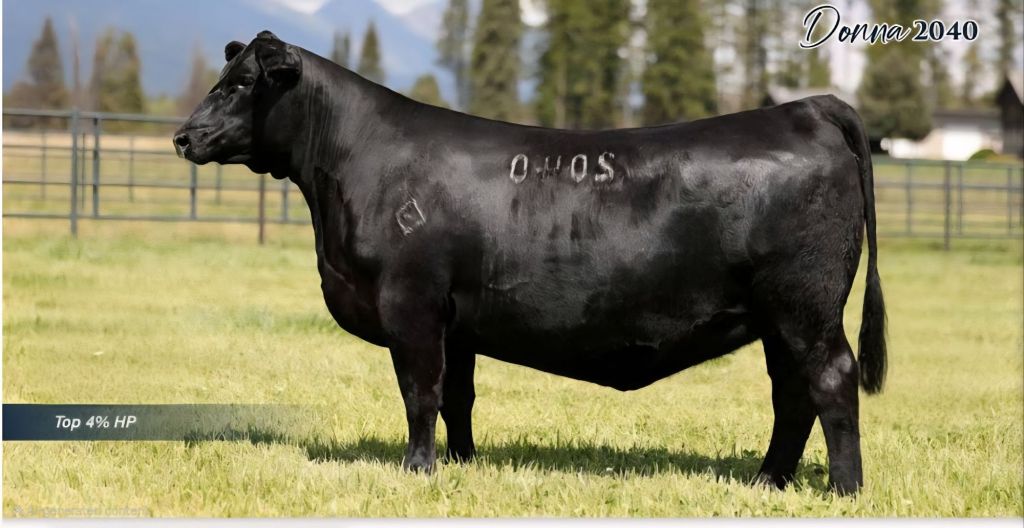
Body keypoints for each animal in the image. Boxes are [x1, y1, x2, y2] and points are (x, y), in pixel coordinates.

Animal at [174, 31, 887, 495]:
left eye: (242, 83)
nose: (183, 136)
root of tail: (806, 107)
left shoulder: (412, 303)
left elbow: (419, 392)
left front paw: (417, 471)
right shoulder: (456, 321)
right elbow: (457, 397)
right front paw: (462, 465)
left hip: (804, 306)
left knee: (831, 379)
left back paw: (843, 491)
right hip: (778, 318)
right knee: (791, 392)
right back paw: (767, 482)